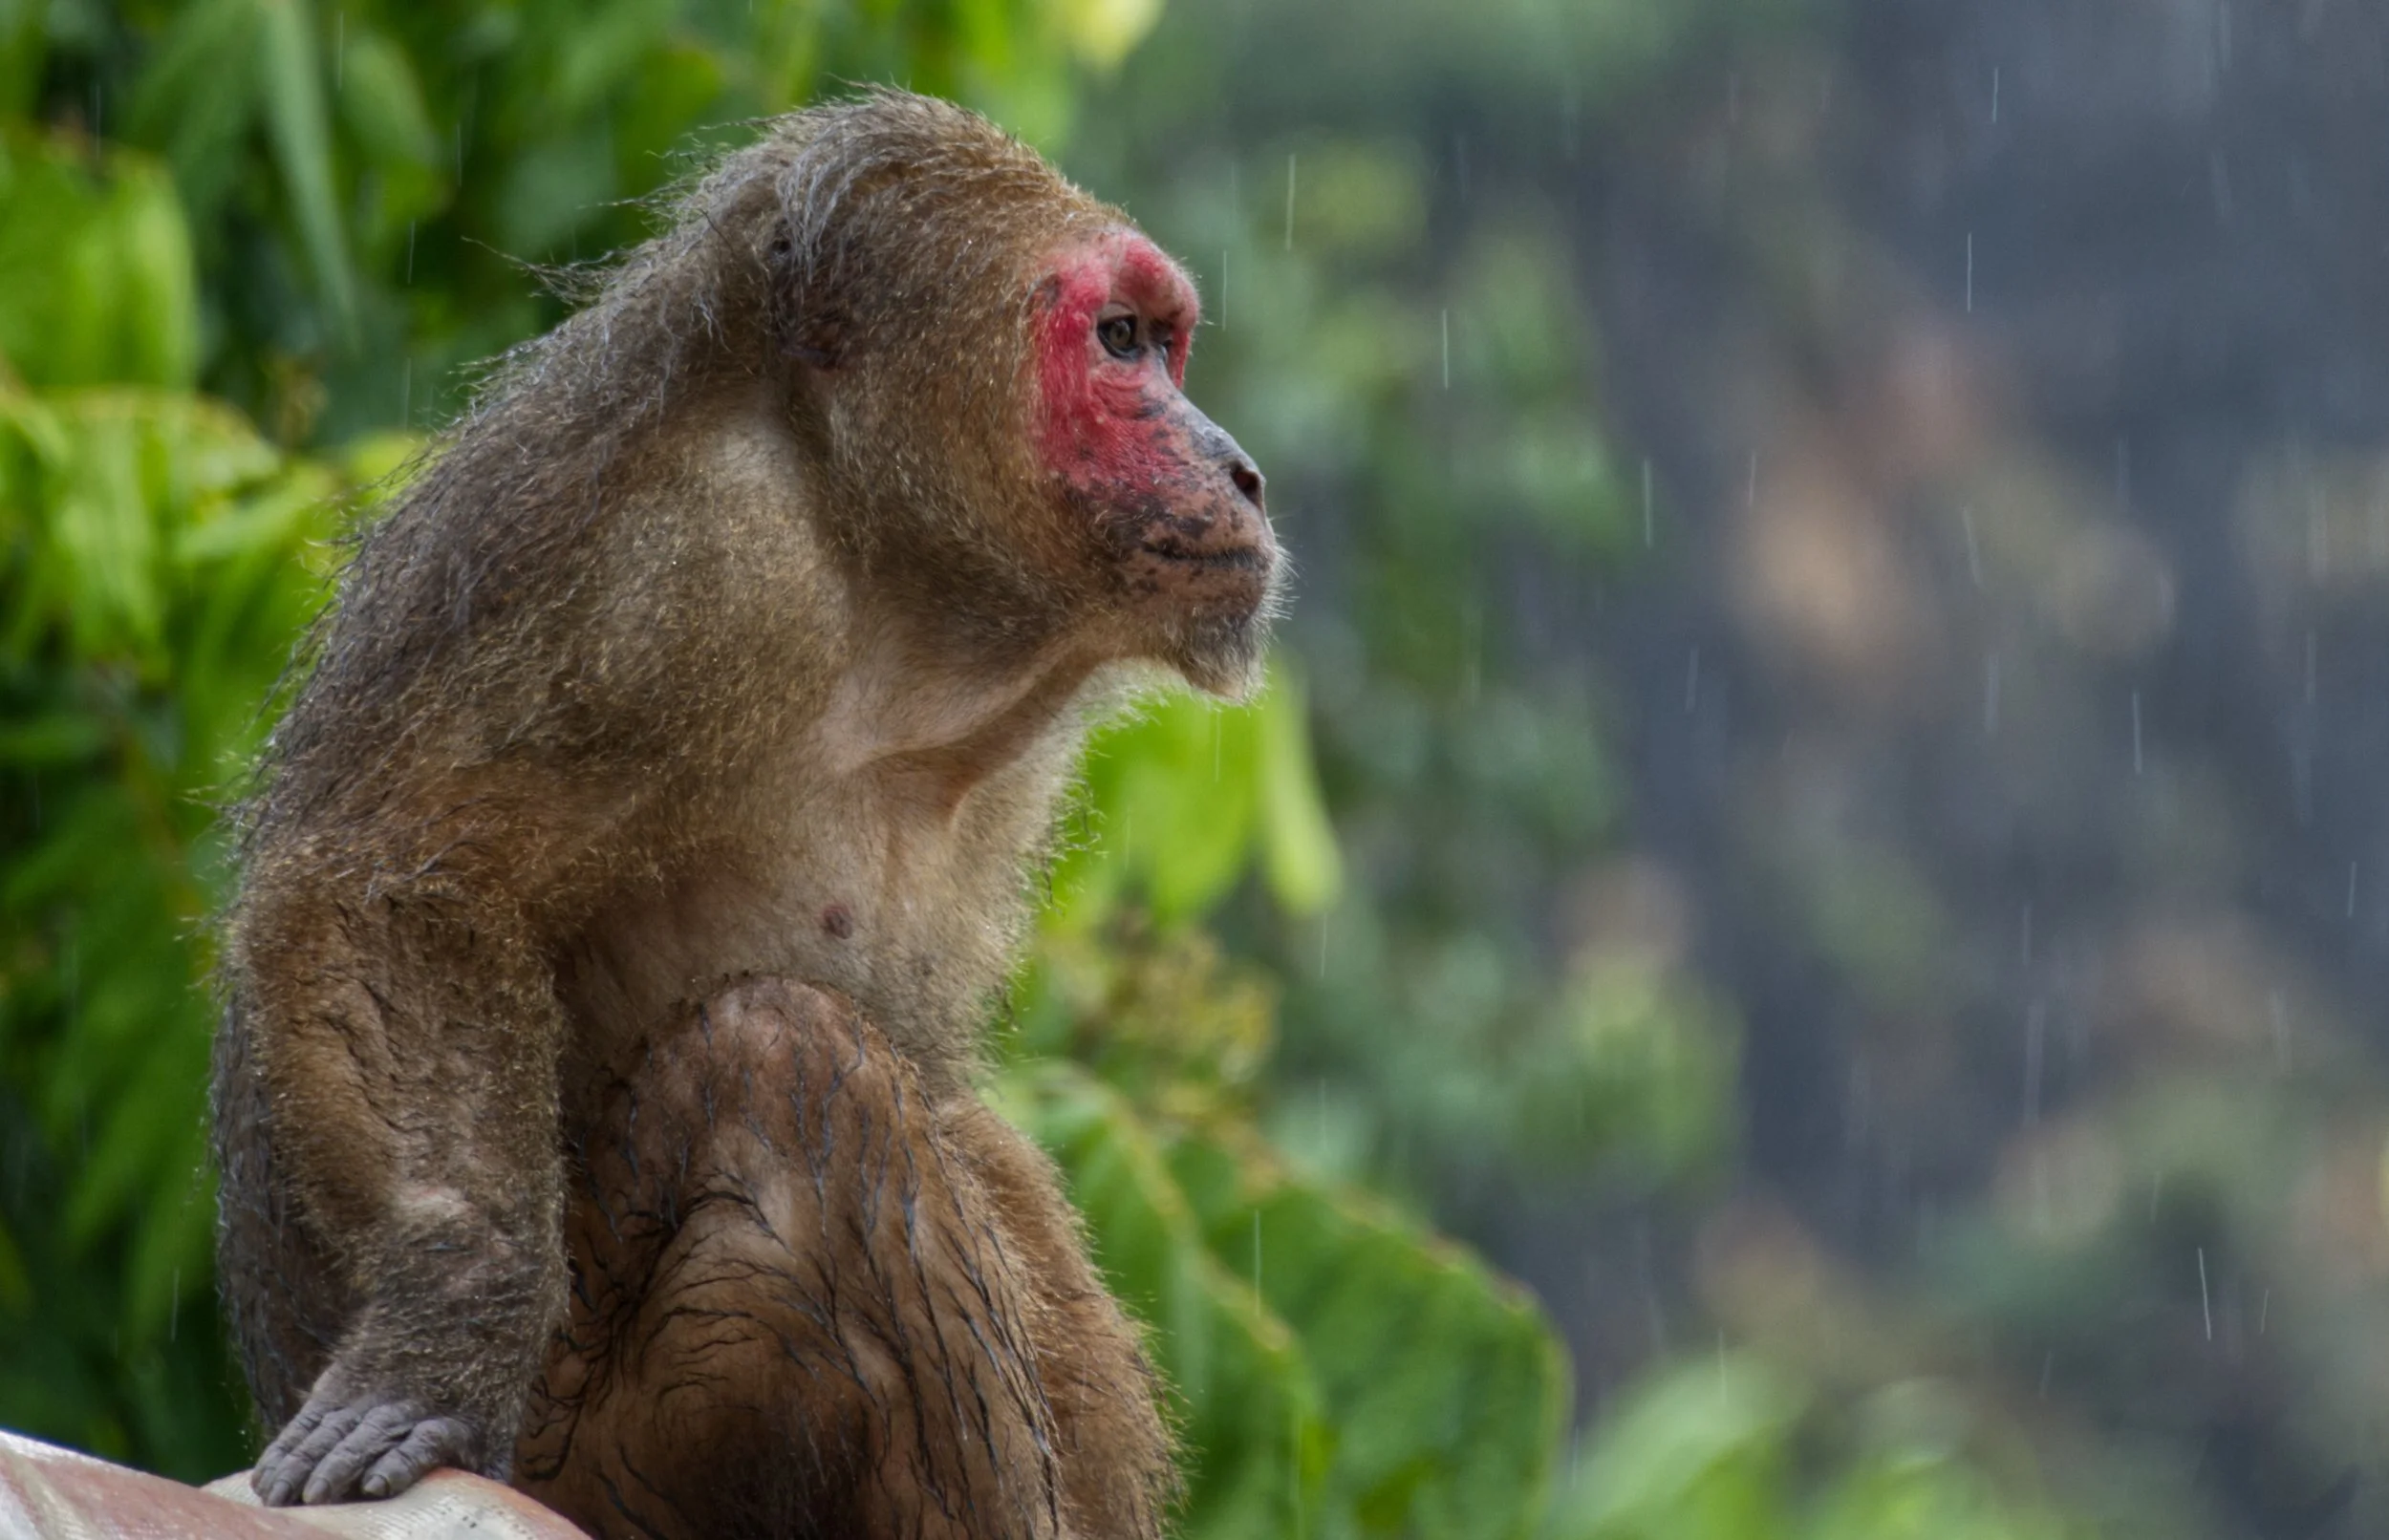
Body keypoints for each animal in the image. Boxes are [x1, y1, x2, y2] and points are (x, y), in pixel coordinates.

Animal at [209, 88, 1277, 1539]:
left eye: (1165, 343)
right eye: (1120, 342)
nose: (1241, 468)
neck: (881, 571)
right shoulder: (675, 577)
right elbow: (396, 883)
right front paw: (442, 1331)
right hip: (600, 1459)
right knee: (793, 1070)